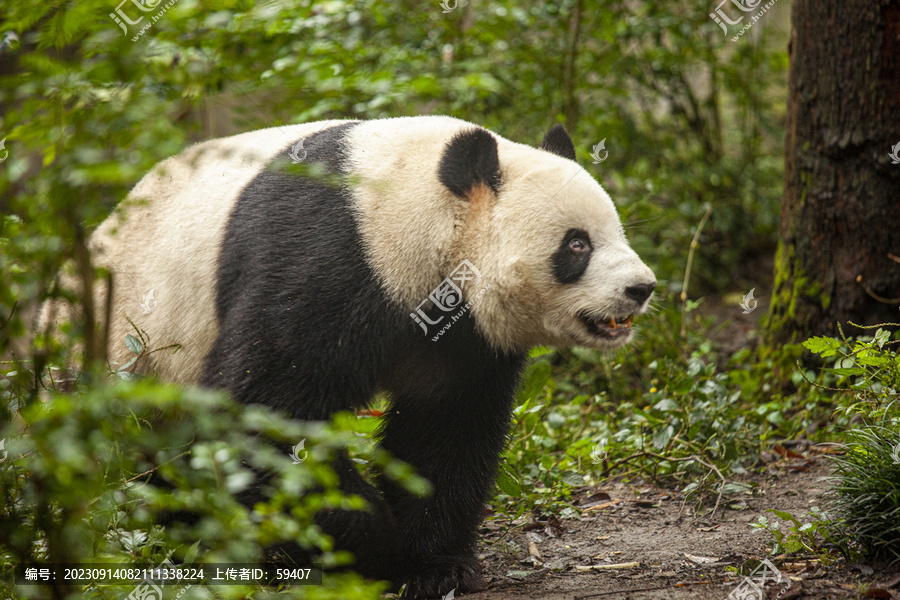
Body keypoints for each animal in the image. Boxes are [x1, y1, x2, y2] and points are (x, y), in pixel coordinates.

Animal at [49, 116, 652, 596]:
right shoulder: (323, 259)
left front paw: (436, 564)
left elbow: (447, 427)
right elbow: (266, 416)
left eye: (619, 232)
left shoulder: (460, 336)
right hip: (122, 351)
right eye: (577, 244)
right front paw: (380, 551)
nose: (641, 288)